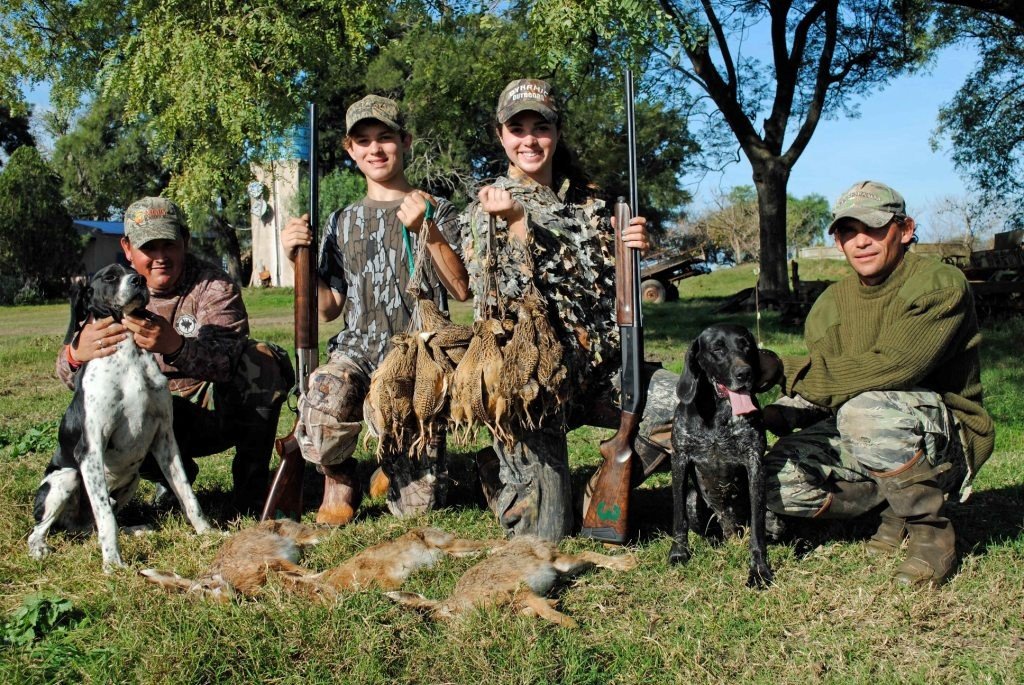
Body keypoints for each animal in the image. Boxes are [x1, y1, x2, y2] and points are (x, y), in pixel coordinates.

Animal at [29, 264, 211, 573]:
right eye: (110, 276)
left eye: (135, 271)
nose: (139, 280)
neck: (129, 355)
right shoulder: (90, 449)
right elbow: (105, 517)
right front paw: (113, 563)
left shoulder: (165, 439)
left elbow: (187, 494)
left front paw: (209, 533)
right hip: (66, 478)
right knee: (41, 530)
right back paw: (40, 548)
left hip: (132, 479)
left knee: (97, 524)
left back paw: (136, 529)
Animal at [671, 323, 782, 585]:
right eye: (718, 348)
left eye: (746, 345)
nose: (745, 373)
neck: (718, 414)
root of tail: (731, 530)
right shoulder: (679, 458)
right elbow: (678, 518)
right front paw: (679, 553)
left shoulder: (754, 463)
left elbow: (758, 530)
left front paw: (759, 569)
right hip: (693, 499)